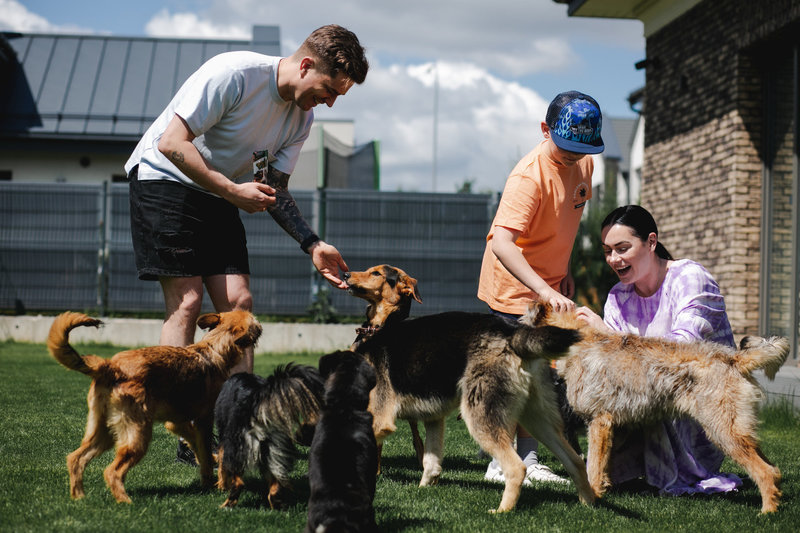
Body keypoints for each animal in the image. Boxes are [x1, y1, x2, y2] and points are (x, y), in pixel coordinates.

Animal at [47, 308, 262, 502]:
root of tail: (111, 367)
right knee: (112, 472)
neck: (213, 347)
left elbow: (200, 449)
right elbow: (212, 453)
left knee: (76, 458)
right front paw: (220, 482)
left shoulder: (177, 423)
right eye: (253, 321)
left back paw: (79, 498)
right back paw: (125, 502)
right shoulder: (205, 420)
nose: (260, 326)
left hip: (103, 432)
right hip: (137, 436)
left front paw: (207, 476)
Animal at [216, 364, 324, 510]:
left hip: (239, 449)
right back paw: (277, 506)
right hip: (274, 451)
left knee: (239, 483)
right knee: (274, 488)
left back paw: (226, 505)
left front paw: (222, 485)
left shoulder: (225, 441)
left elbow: (221, 465)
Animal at [524, 300, 792, 512]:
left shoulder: (598, 422)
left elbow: (592, 467)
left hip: (724, 431)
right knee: (773, 469)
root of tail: (734, 358)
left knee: (765, 472)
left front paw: (590, 499)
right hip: (740, 432)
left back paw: (767, 512)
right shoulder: (605, 427)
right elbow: (599, 465)